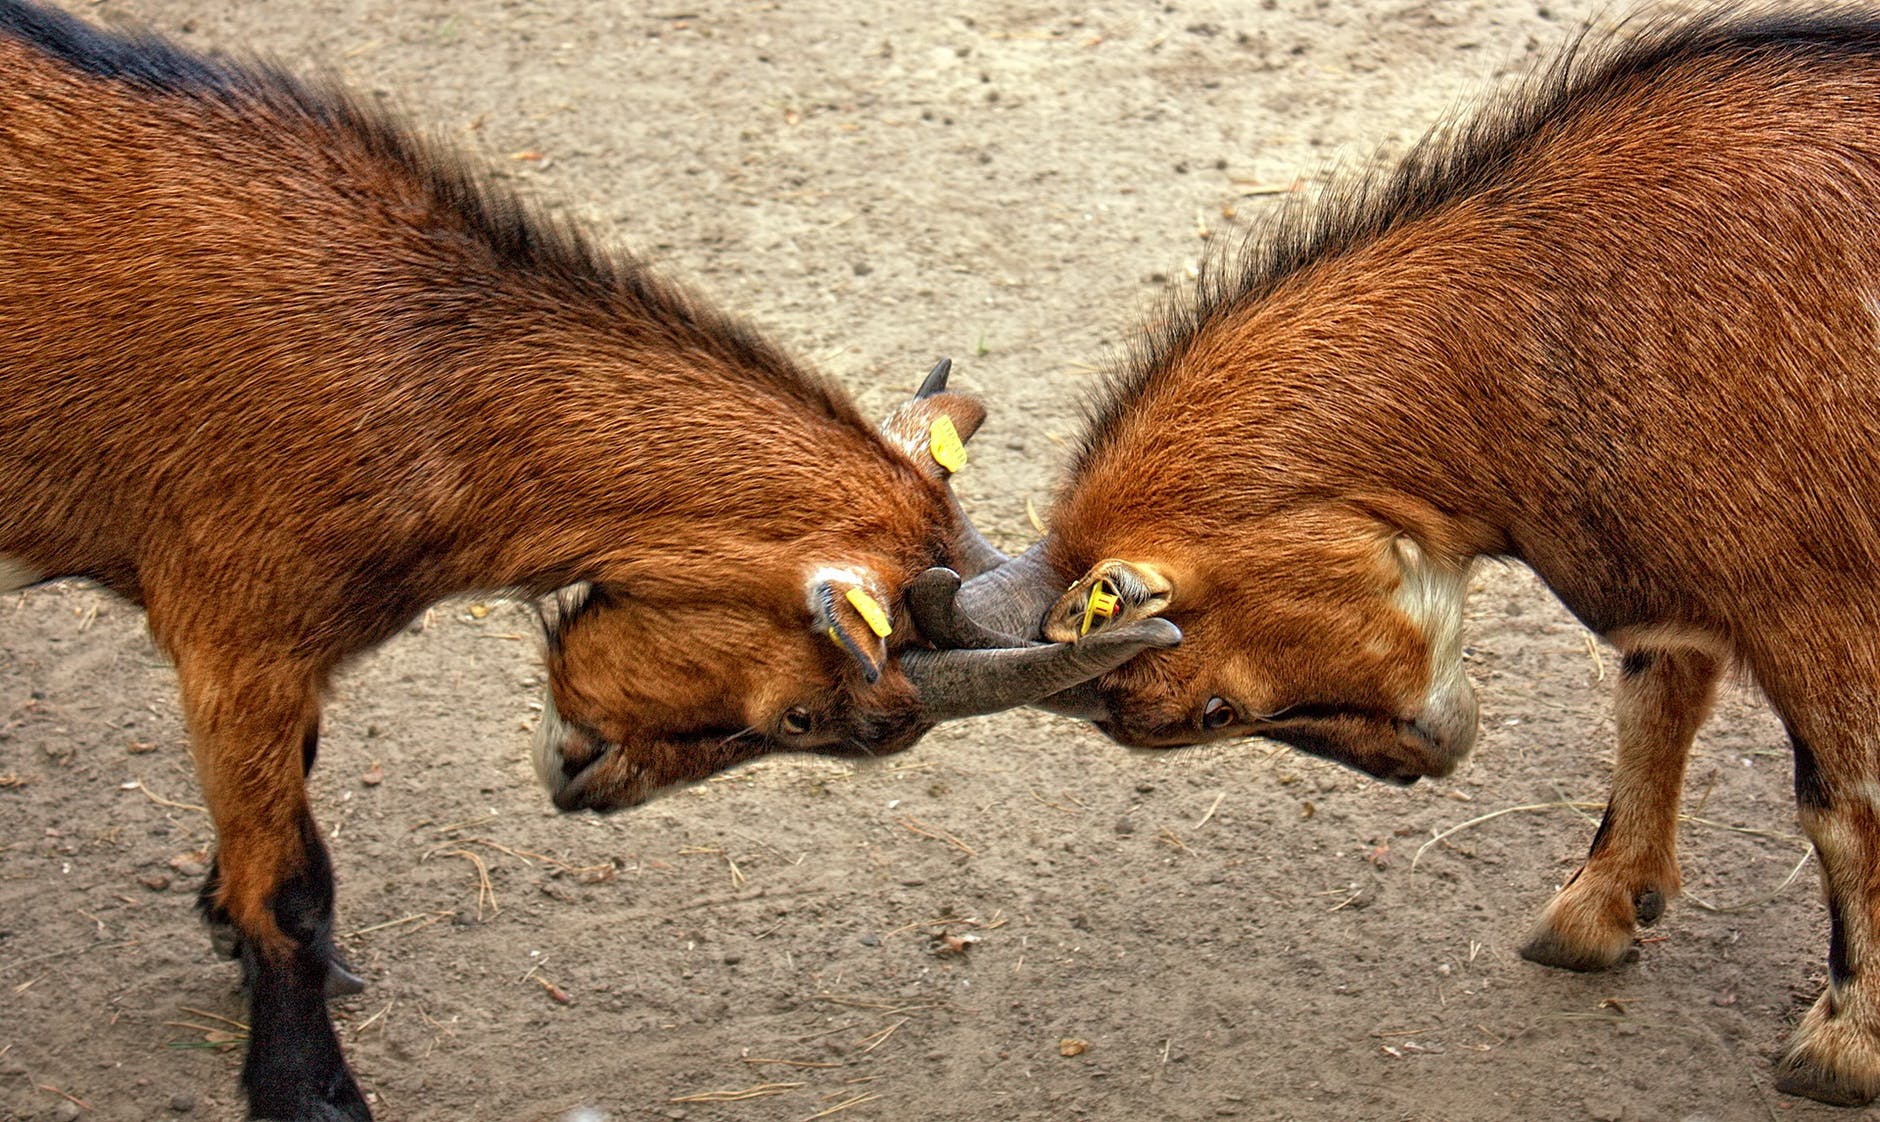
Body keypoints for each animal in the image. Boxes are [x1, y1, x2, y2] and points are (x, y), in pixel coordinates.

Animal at [0, 3, 1174, 1118]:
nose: (580, 787)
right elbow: (285, 886)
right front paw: (311, 1093)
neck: (422, 374)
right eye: (816, 720)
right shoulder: (236, 634)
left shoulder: (284, 654)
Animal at [929, 9, 1880, 1107]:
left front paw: (1843, 1045)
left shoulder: (1814, 597)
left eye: (1213, 712)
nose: (1416, 765)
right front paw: (1593, 912)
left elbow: (1840, 806)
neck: (1540, 316)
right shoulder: (1674, 583)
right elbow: (1652, 706)